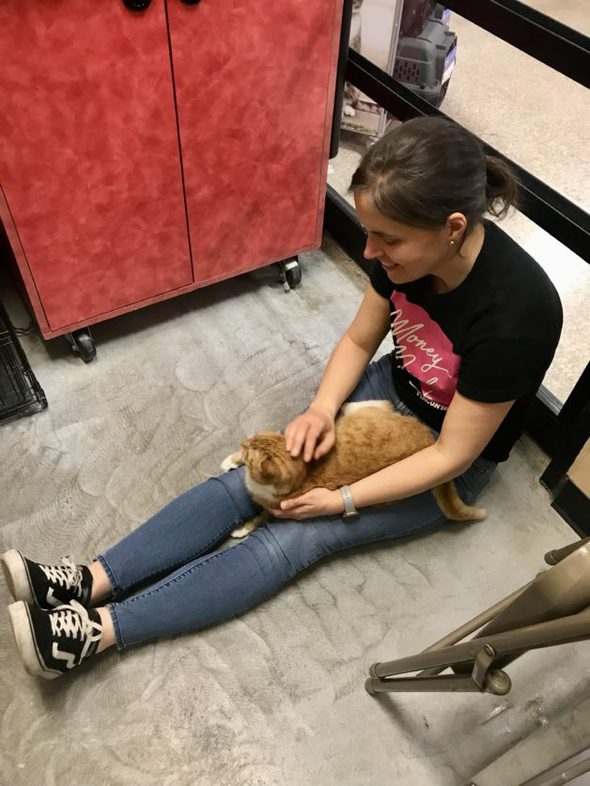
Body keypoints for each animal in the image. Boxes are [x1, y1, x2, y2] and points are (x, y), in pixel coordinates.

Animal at [222, 398, 486, 540]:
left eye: (250, 449)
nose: (243, 442)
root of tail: (429, 439)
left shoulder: (275, 509)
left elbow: (257, 519)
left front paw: (241, 529)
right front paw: (230, 460)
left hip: (363, 414)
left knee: (379, 402)